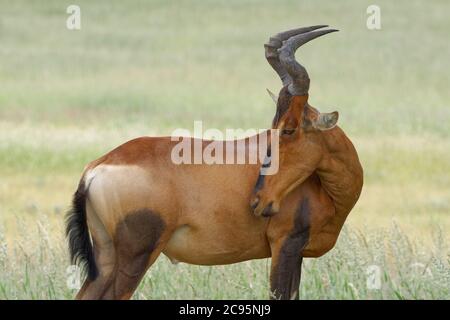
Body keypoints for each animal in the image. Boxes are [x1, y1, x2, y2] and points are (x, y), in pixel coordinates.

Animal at [66, 25, 362, 300]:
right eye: (278, 127)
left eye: (287, 128)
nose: (258, 201)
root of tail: (96, 168)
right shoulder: (286, 244)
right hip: (136, 255)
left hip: (106, 255)